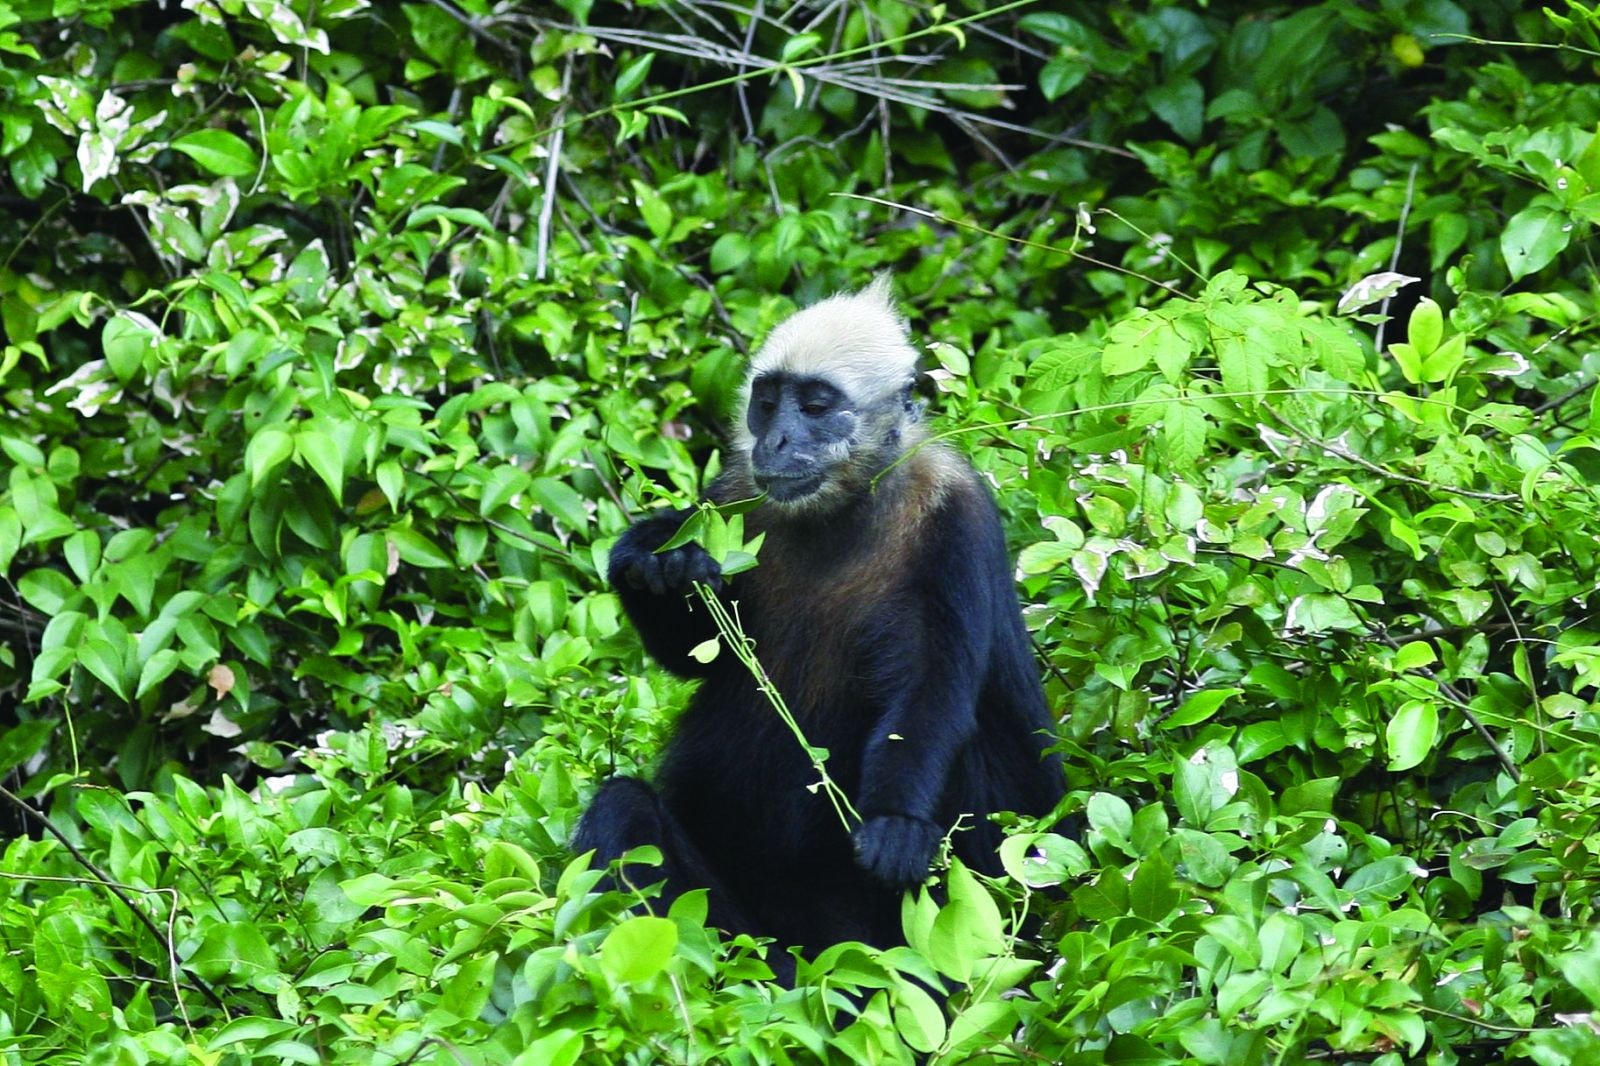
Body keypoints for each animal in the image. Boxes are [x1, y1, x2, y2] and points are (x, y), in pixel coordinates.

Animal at [576, 275, 1062, 973]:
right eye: (767, 403)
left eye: (814, 405)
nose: (774, 441)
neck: (844, 509)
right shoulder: (733, 500)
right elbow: (691, 651)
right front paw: (657, 560)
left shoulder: (957, 517)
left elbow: (933, 685)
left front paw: (896, 822)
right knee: (624, 806)